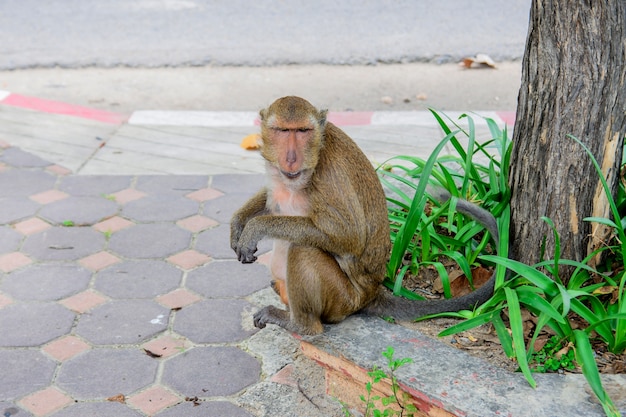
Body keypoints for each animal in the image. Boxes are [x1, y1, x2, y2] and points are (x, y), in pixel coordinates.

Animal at [232, 96, 500, 334]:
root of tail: (371, 294)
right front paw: (238, 224)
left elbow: (348, 236)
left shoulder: (329, 176)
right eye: (282, 130)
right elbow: (271, 202)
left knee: (303, 248)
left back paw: (301, 325)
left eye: (302, 131)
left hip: (344, 299)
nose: (290, 158)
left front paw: (255, 227)